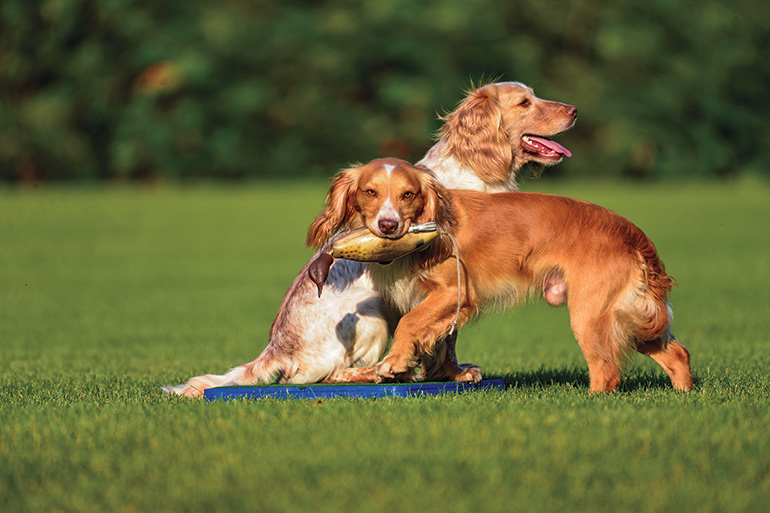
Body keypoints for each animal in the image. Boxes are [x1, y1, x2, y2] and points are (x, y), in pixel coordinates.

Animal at [306, 158, 688, 390]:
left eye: (408, 194)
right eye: (370, 192)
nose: (388, 225)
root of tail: (628, 229)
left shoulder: (454, 293)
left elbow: (411, 324)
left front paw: (394, 363)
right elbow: (438, 341)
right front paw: (452, 374)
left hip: (590, 315)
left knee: (607, 373)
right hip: (630, 318)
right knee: (677, 353)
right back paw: (683, 394)